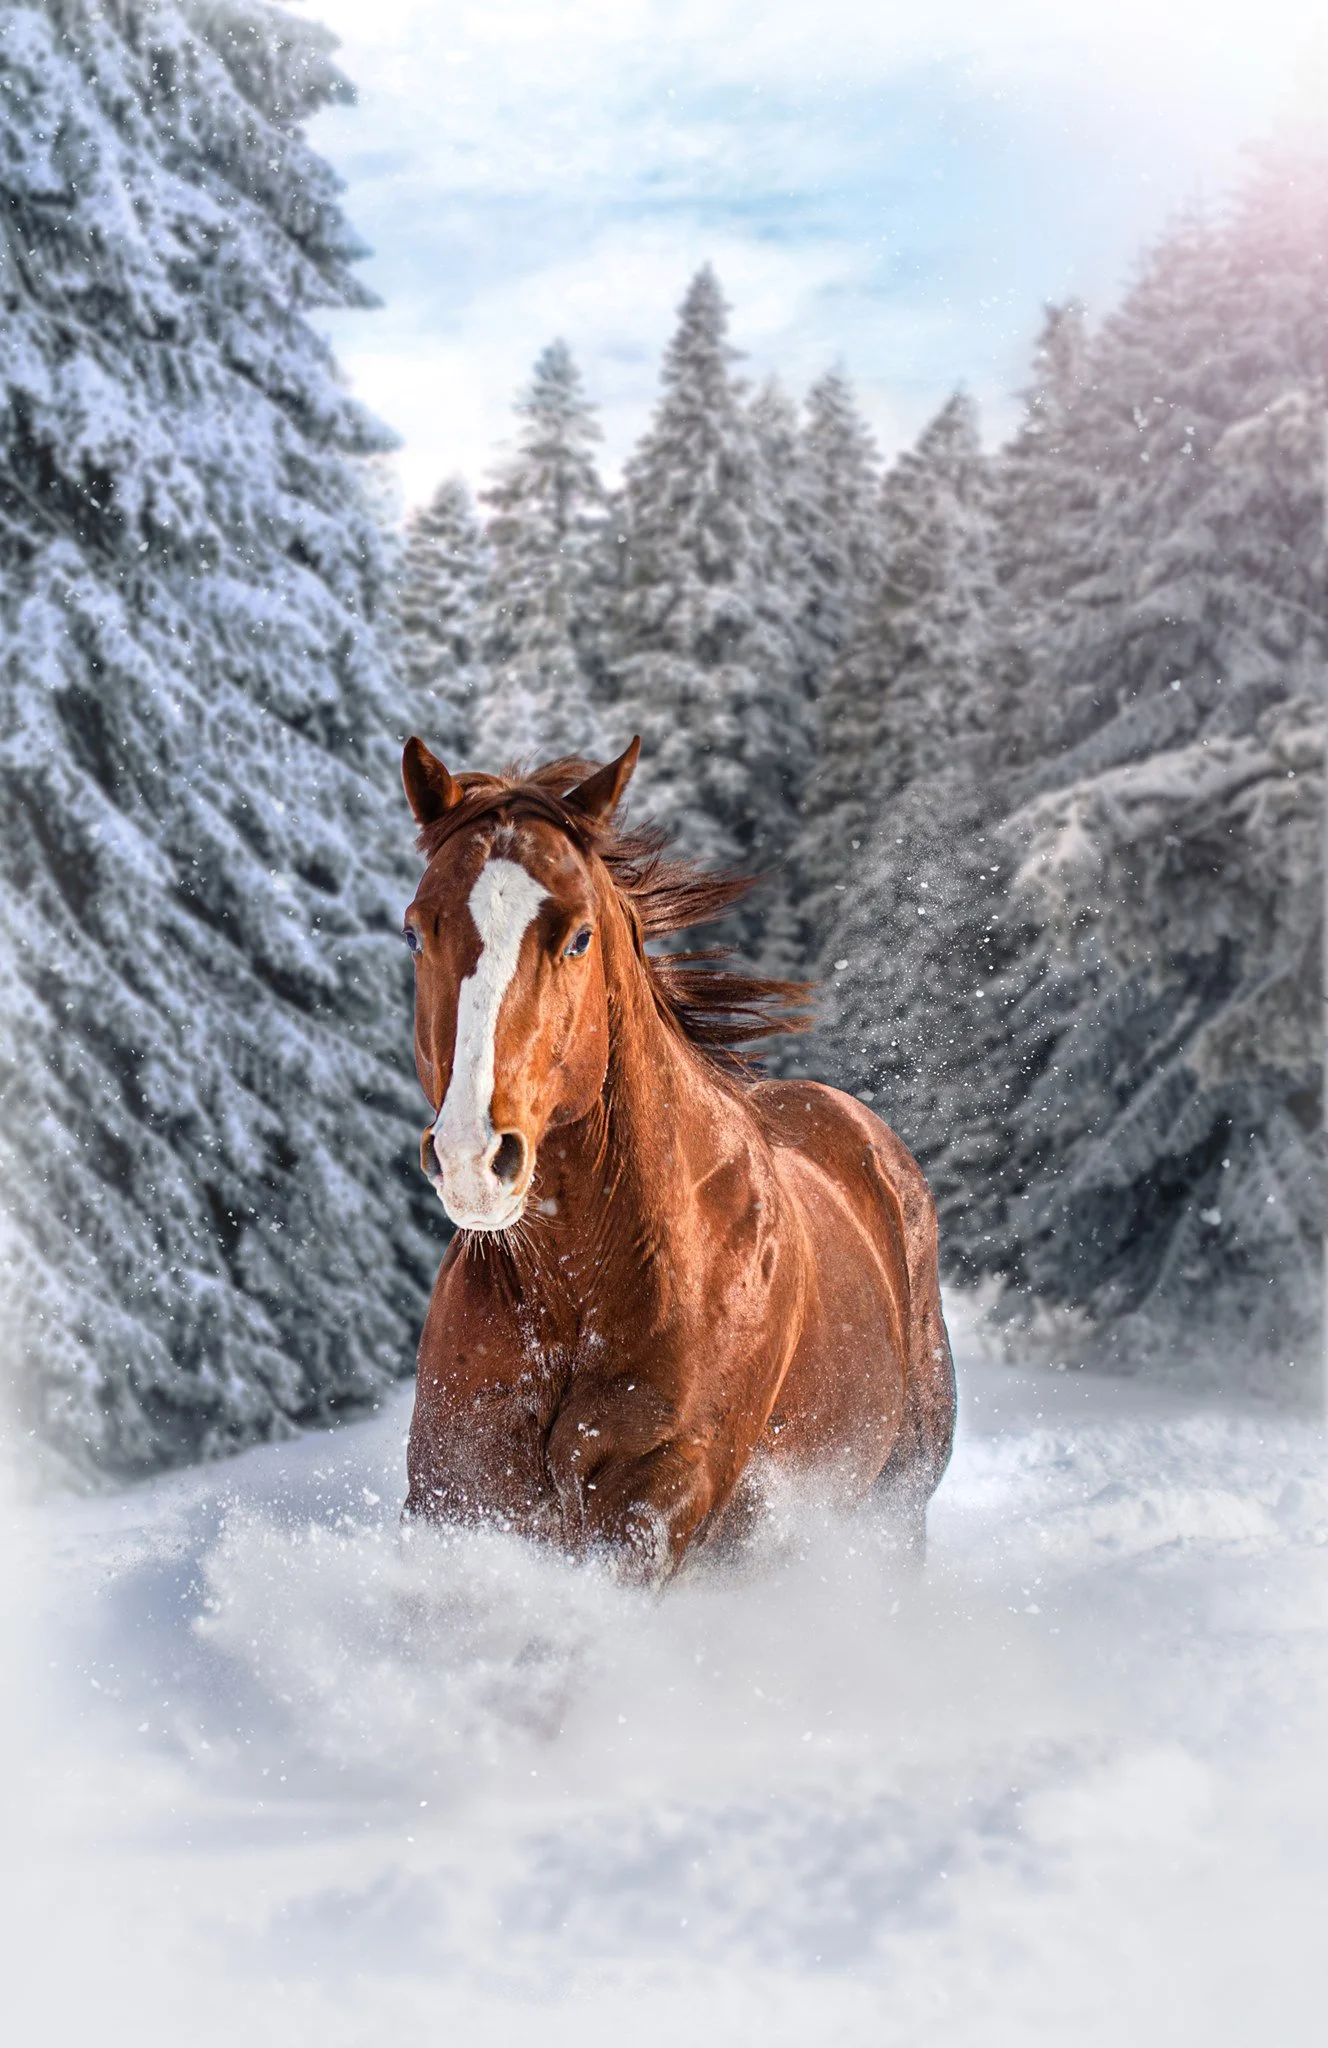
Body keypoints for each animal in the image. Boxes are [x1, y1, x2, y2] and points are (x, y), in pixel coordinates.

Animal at [399, 734, 955, 1582]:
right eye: (416, 930)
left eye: (579, 936)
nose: (471, 1158)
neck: (578, 1290)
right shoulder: (456, 1497)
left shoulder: (657, 1496)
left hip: (898, 1500)